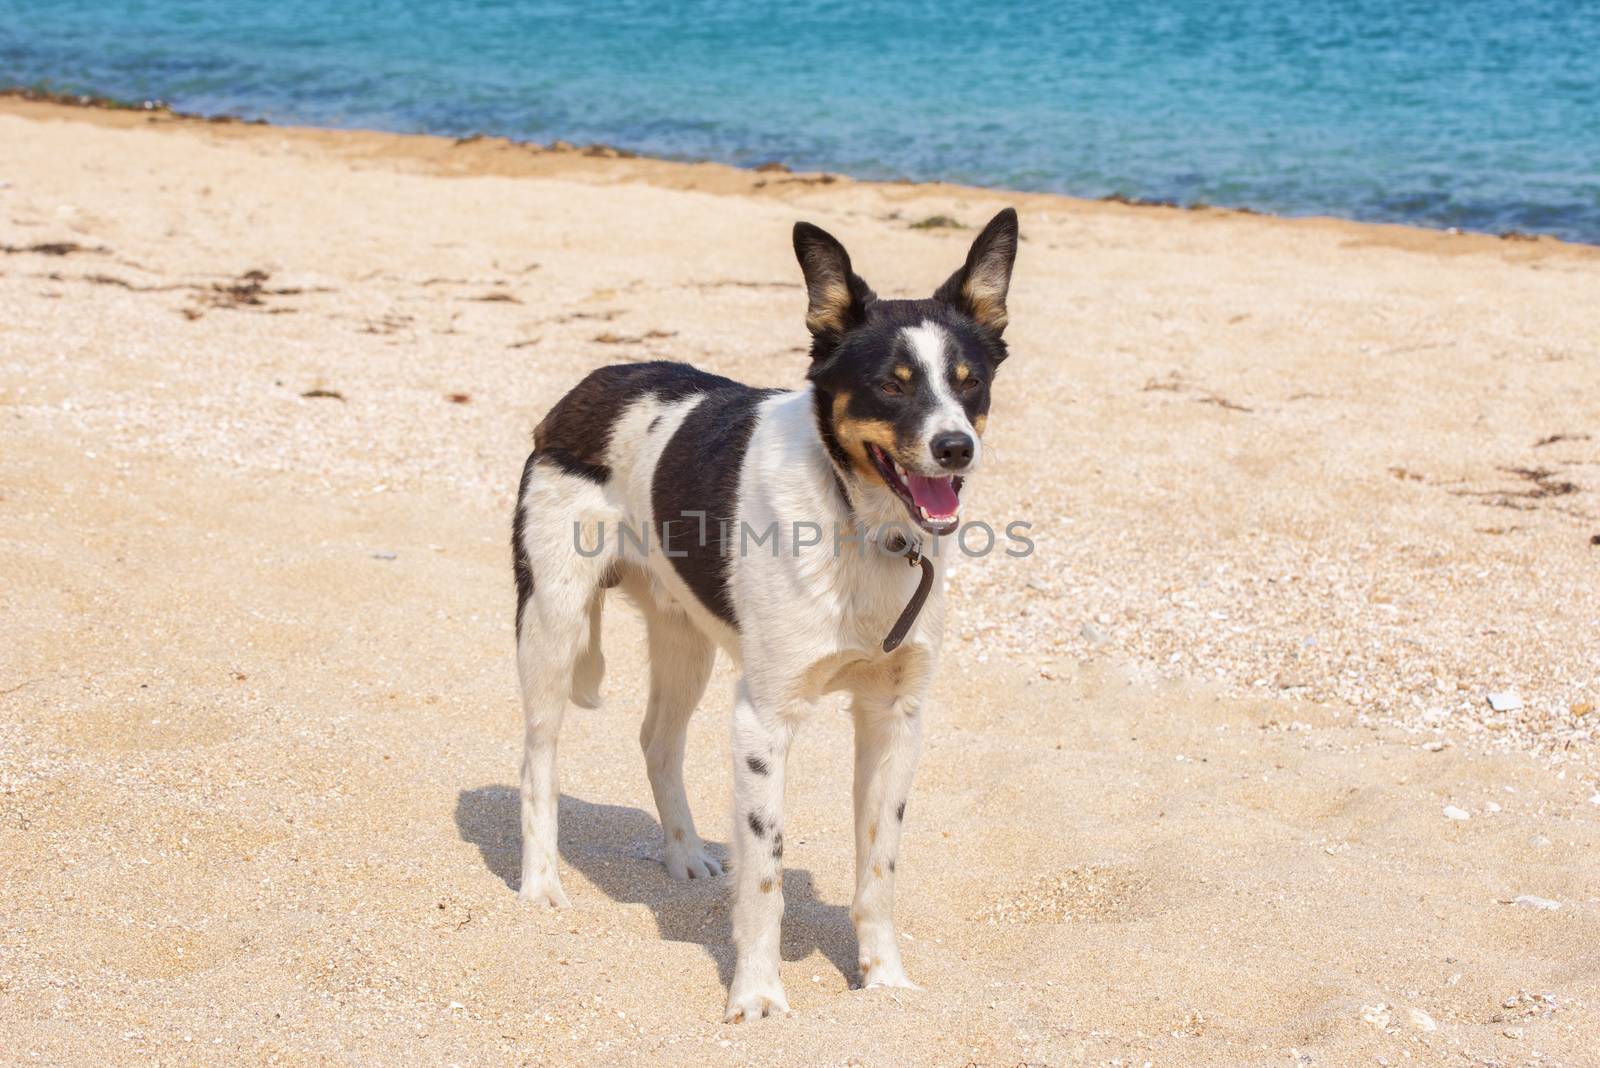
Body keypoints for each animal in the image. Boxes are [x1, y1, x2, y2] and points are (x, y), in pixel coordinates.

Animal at [505, 206, 1017, 1016]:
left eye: (971, 384)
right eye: (891, 386)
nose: (956, 448)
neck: (861, 524)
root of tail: (594, 383)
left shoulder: (896, 718)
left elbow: (880, 870)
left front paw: (885, 979)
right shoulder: (763, 720)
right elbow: (767, 874)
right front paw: (756, 996)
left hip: (685, 639)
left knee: (658, 741)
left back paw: (684, 854)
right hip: (552, 622)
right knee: (538, 759)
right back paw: (542, 885)